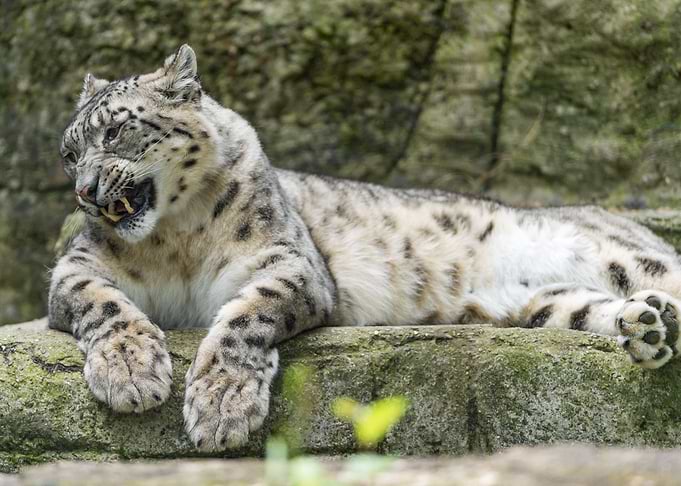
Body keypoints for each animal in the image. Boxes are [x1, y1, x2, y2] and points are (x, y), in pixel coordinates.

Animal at [49, 44, 681, 452]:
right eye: (69, 154)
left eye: (114, 131)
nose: (84, 191)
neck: (177, 238)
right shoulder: (74, 268)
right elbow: (99, 302)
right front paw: (131, 373)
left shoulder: (289, 263)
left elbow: (246, 317)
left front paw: (221, 404)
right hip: (549, 304)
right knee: (595, 309)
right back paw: (650, 325)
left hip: (620, 256)